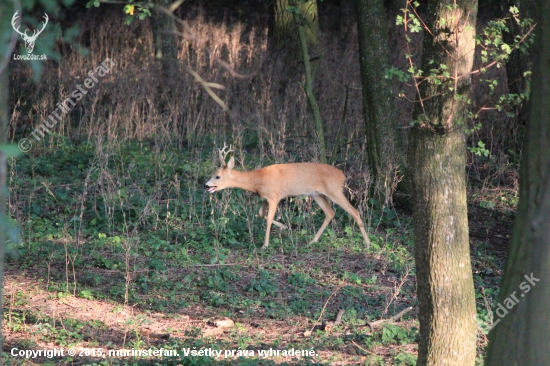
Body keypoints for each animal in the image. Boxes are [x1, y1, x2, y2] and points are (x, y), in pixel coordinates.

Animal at [205, 145, 374, 249]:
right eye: (212, 174)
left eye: (218, 176)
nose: (206, 185)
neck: (257, 180)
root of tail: (342, 175)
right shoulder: (264, 198)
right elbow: (260, 214)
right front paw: (284, 227)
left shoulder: (275, 196)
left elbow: (267, 219)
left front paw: (265, 245)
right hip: (317, 194)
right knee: (330, 213)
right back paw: (312, 241)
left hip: (335, 191)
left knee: (354, 211)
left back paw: (368, 244)